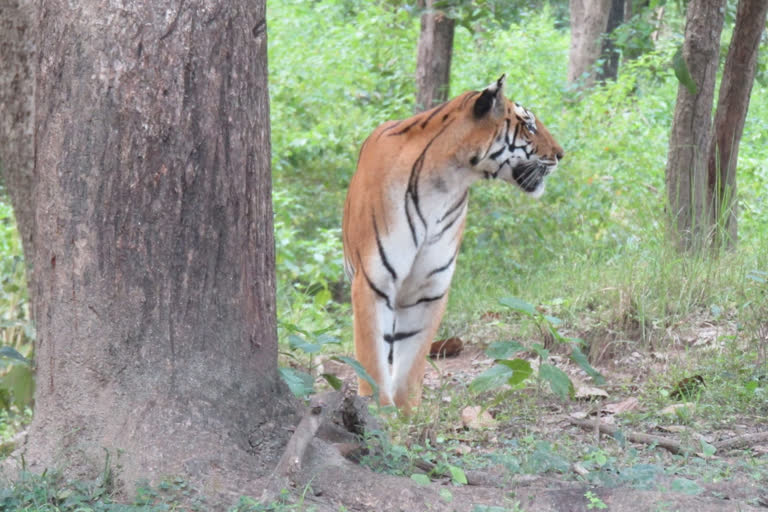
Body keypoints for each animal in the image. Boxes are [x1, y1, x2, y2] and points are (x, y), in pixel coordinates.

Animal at [342, 75, 564, 412]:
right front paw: (378, 413)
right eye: (529, 126)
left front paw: (408, 415)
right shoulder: (373, 282)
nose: (562, 154)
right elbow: (371, 359)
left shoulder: (428, 289)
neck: (446, 182)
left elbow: (412, 360)